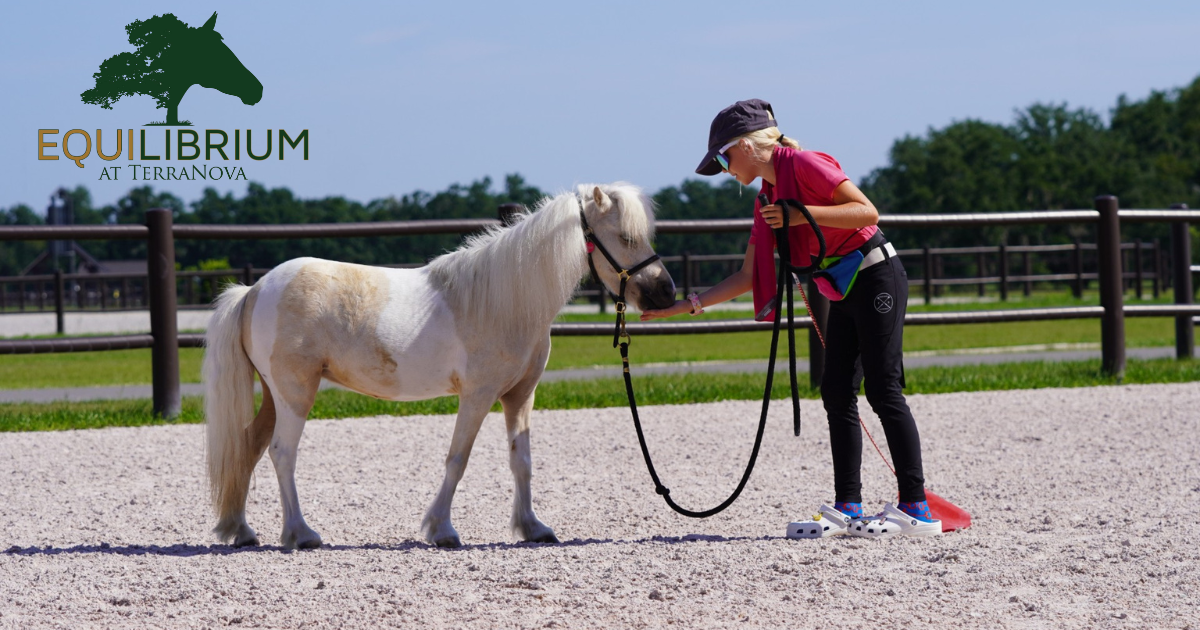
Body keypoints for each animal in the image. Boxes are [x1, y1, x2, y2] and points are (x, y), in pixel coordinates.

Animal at [203, 183, 677, 550]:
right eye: (625, 237)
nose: (666, 293)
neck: (506, 301)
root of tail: (254, 290)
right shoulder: (478, 396)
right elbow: (458, 459)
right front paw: (442, 530)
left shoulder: (520, 396)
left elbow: (521, 460)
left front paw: (532, 528)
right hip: (295, 394)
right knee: (283, 453)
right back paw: (301, 534)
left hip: (273, 395)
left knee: (248, 447)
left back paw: (242, 531)